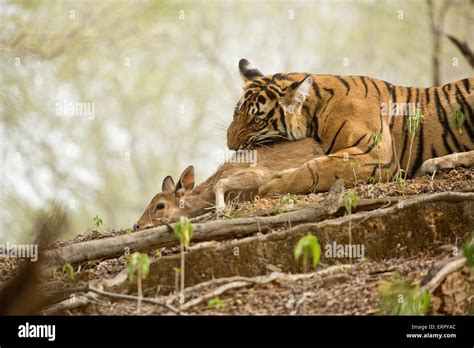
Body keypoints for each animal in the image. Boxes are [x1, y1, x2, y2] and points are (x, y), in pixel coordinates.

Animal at [228, 58, 472, 197]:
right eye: (236, 113)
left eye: (257, 120)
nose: (231, 147)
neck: (315, 109)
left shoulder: (374, 153)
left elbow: (317, 167)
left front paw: (271, 186)